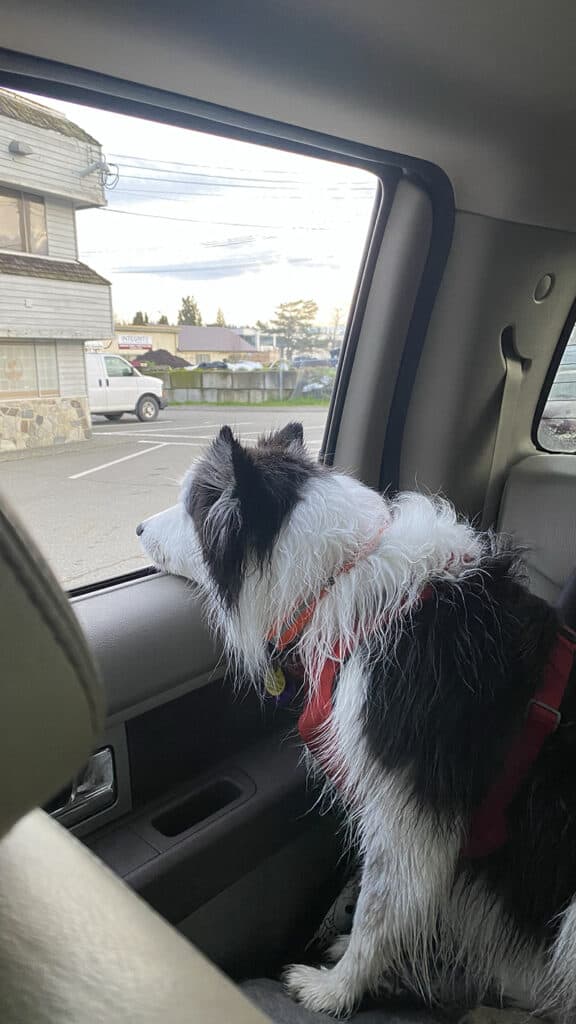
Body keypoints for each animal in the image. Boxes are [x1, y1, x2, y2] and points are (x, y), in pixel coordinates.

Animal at [136, 421, 573, 1015]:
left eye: (188, 508)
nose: (136, 527)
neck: (337, 575)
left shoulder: (407, 808)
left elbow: (378, 909)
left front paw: (334, 989)